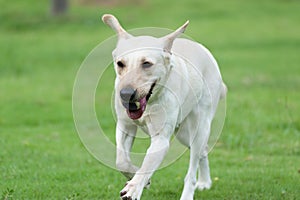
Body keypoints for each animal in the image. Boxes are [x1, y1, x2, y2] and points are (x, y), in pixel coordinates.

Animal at [102, 14, 226, 200]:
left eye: (146, 63)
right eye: (120, 63)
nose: (126, 94)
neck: (150, 102)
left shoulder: (161, 139)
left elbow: (147, 163)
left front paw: (134, 188)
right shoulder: (125, 125)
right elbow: (121, 160)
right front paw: (137, 177)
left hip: (200, 125)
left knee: (193, 165)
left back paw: (189, 193)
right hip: (183, 134)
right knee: (203, 151)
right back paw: (205, 181)